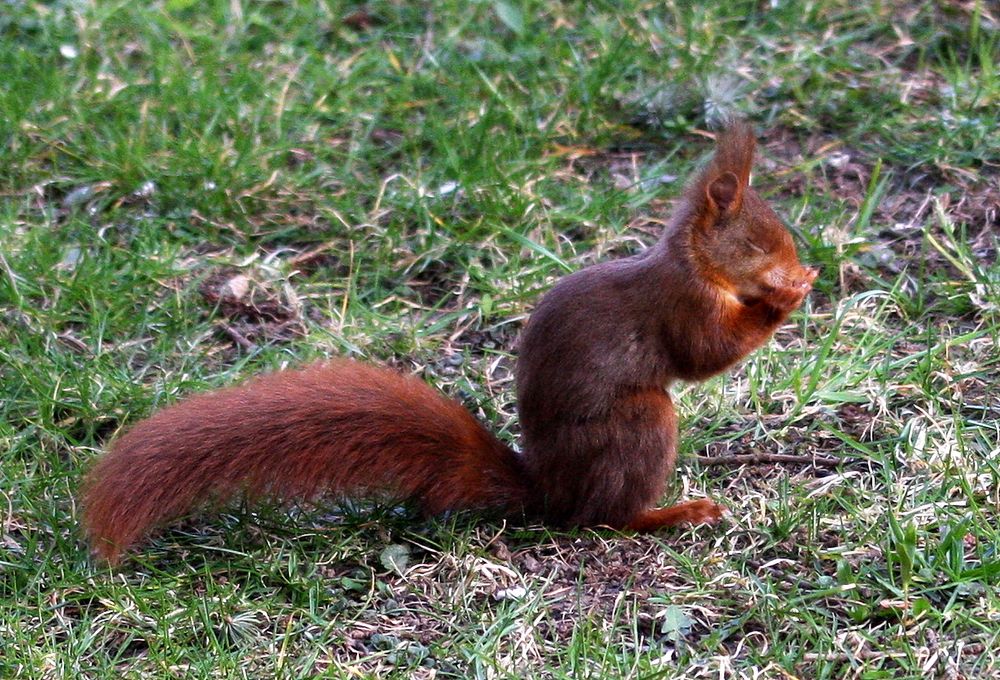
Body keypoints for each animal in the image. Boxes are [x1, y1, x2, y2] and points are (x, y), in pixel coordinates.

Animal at [82, 122, 816, 564]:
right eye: (757, 240)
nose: (796, 265)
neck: (695, 263)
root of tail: (546, 490)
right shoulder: (680, 304)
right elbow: (704, 354)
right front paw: (785, 298)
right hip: (641, 424)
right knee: (601, 519)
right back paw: (671, 514)